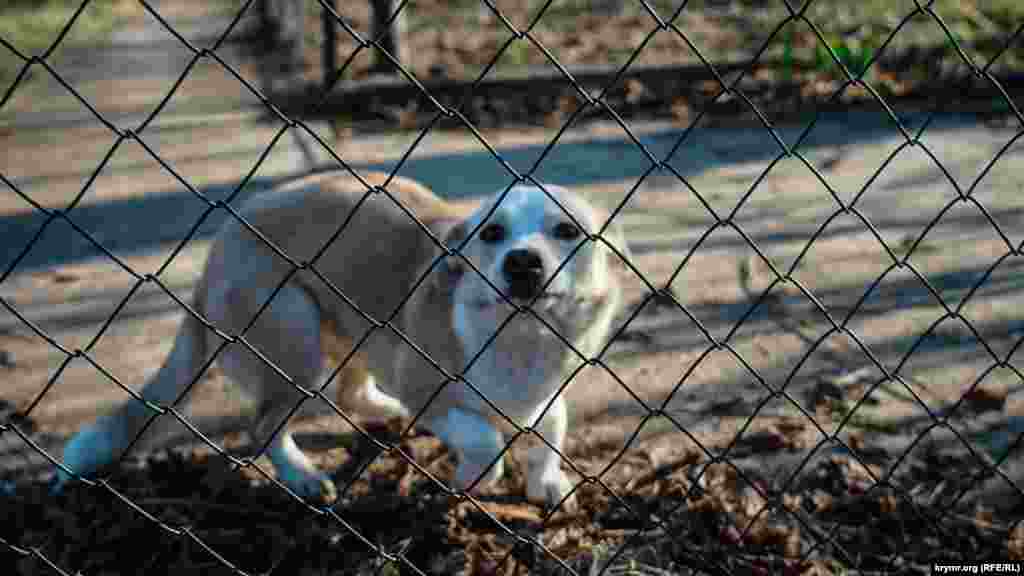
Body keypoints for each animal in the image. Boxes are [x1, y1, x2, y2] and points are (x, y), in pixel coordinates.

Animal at [58, 169, 630, 506]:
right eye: (492, 233)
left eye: (566, 230)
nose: (522, 263)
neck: (521, 337)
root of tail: (215, 256)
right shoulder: (426, 390)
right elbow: (485, 440)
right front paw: (473, 479)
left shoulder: (548, 392)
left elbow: (551, 427)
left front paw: (546, 482)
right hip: (297, 336)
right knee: (263, 425)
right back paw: (303, 476)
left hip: (355, 332)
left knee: (350, 393)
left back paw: (384, 418)